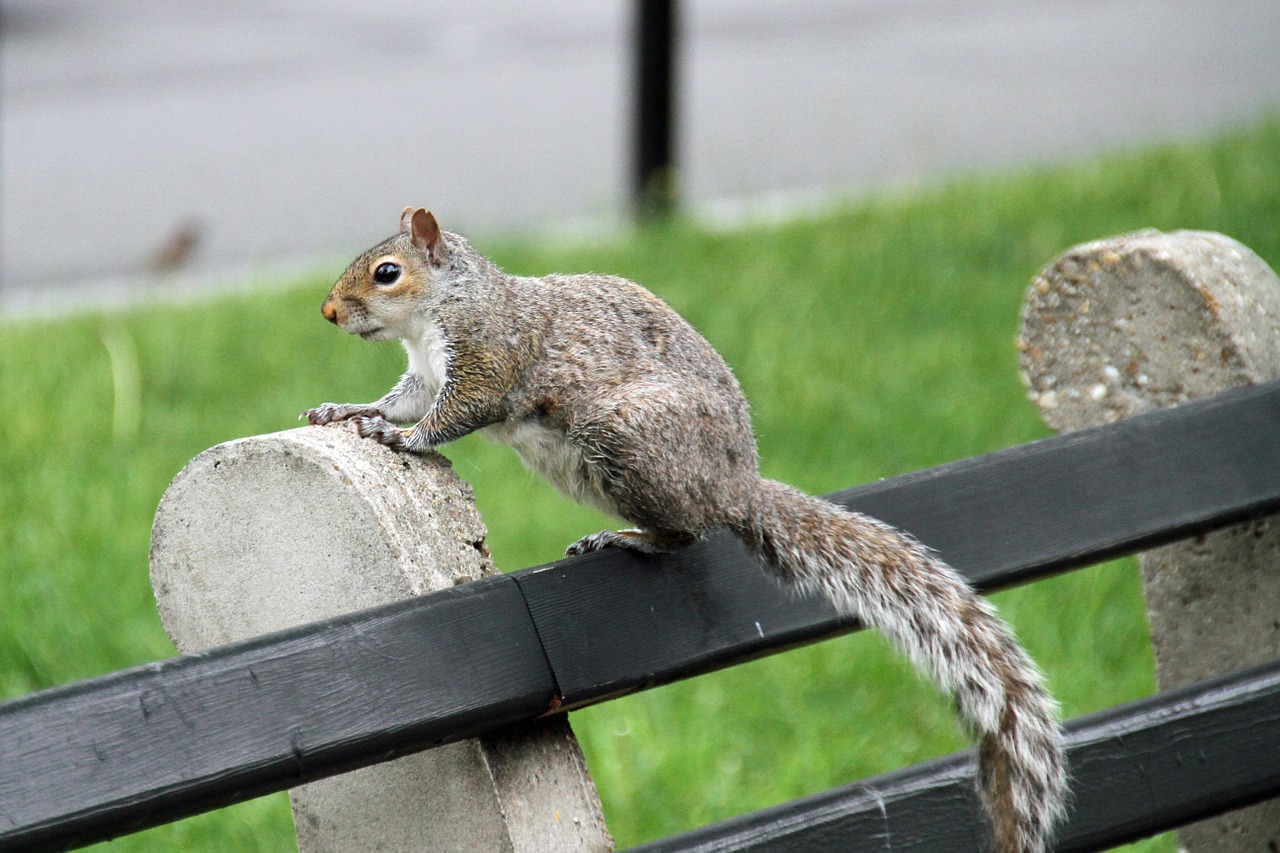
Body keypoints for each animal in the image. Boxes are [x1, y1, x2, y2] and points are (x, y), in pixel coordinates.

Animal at [307, 206, 1070, 850]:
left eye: (386, 272)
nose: (328, 312)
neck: (443, 310)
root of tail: (735, 487)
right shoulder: (423, 370)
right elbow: (402, 396)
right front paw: (349, 409)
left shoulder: (490, 358)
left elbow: (451, 413)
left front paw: (402, 438)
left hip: (625, 440)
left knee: (686, 533)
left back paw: (626, 539)